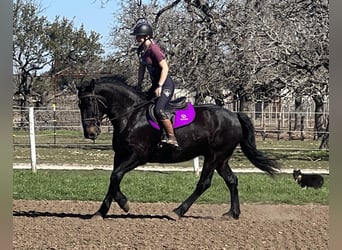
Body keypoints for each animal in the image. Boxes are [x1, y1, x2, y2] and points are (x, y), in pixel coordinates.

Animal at [76, 75, 280, 220]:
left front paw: (123, 204)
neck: (131, 115)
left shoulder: (137, 156)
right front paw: (101, 212)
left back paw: (178, 211)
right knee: (232, 180)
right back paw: (233, 213)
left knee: (204, 183)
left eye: (90, 102)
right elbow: (113, 180)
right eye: (79, 104)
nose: (90, 133)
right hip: (221, 159)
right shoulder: (120, 155)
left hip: (214, 156)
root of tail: (234, 115)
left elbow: (116, 176)